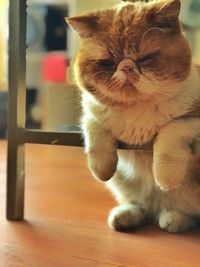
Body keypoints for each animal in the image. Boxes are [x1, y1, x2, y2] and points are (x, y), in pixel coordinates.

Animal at [66, 0, 200, 233]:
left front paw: (165, 177)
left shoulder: (193, 119)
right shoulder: (91, 113)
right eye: (107, 62)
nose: (127, 67)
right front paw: (101, 168)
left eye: (145, 58)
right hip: (122, 184)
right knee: (141, 206)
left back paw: (173, 218)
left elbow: (172, 131)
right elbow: (95, 134)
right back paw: (124, 216)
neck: (136, 110)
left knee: (185, 214)